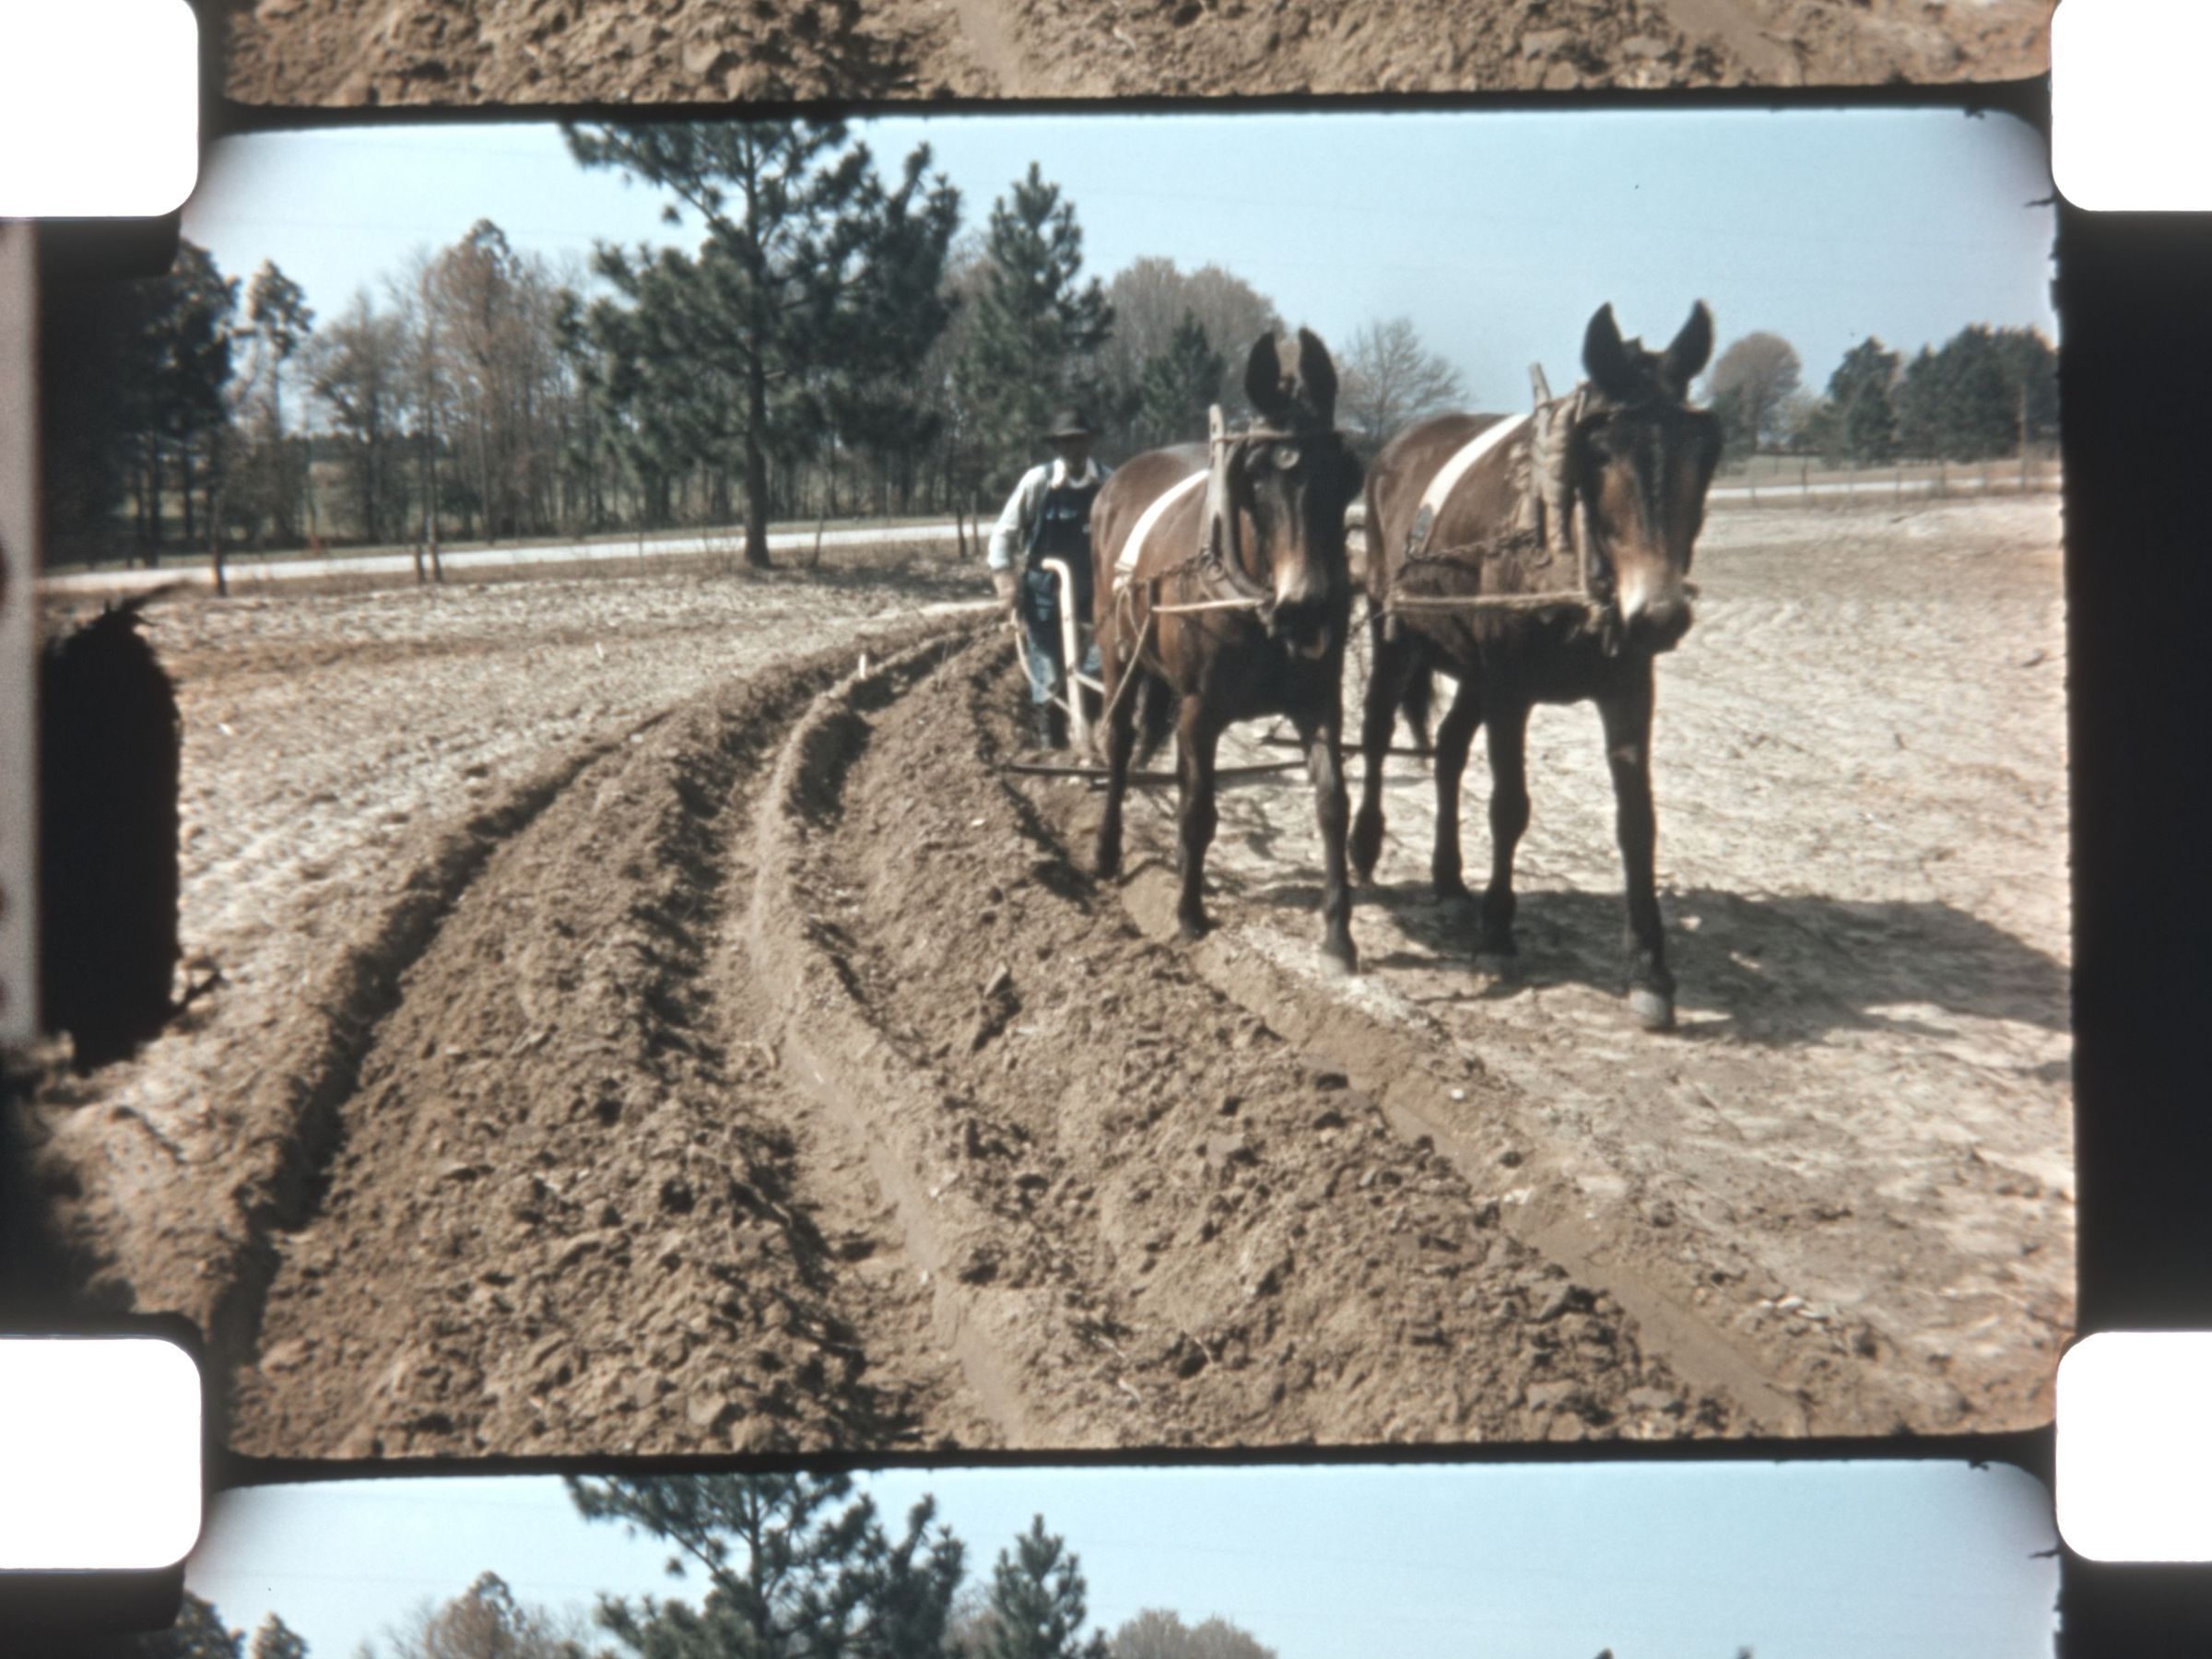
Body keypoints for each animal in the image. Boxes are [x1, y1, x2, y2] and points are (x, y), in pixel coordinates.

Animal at [1090, 329, 1367, 975]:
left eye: (1345, 473)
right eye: (1257, 478)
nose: (1306, 608)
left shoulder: (1319, 704)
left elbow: (1332, 806)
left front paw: (1338, 936)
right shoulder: (1200, 710)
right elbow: (1197, 807)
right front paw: (1189, 915)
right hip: (1118, 654)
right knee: (1119, 744)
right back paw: (1109, 850)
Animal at [1349, 302, 1720, 1031]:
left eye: (1702, 450)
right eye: (1600, 453)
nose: (1660, 616)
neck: (1566, 555)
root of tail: (1394, 448)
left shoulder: (1627, 689)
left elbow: (1638, 822)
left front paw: (1650, 968)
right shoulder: (1511, 691)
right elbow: (1509, 807)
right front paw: (1497, 936)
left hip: (1471, 665)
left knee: (1449, 749)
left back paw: (1446, 878)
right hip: (1396, 629)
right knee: (1377, 731)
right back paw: (1366, 845)